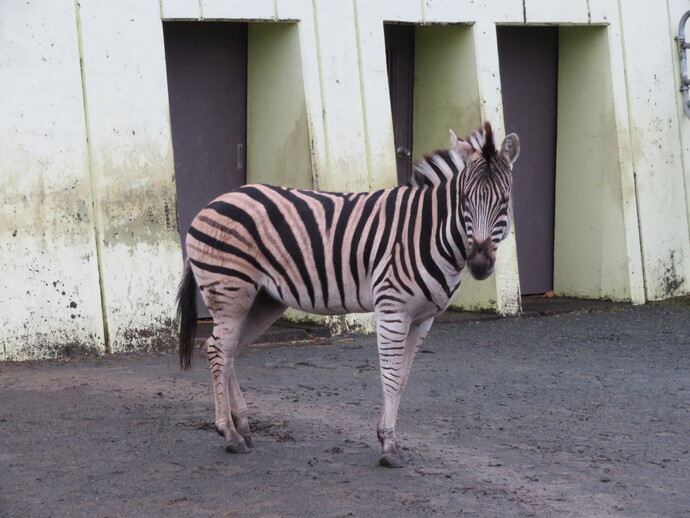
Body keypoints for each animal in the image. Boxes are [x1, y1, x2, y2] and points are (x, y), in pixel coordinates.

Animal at [175, 123, 520, 472]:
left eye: (504, 201)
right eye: (464, 200)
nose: (479, 264)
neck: (428, 232)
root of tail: (216, 200)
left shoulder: (423, 319)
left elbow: (403, 377)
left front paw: (386, 436)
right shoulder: (392, 309)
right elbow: (391, 376)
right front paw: (389, 446)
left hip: (262, 301)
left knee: (226, 351)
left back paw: (243, 427)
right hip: (230, 292)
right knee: (218, 351)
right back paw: (229, 434)